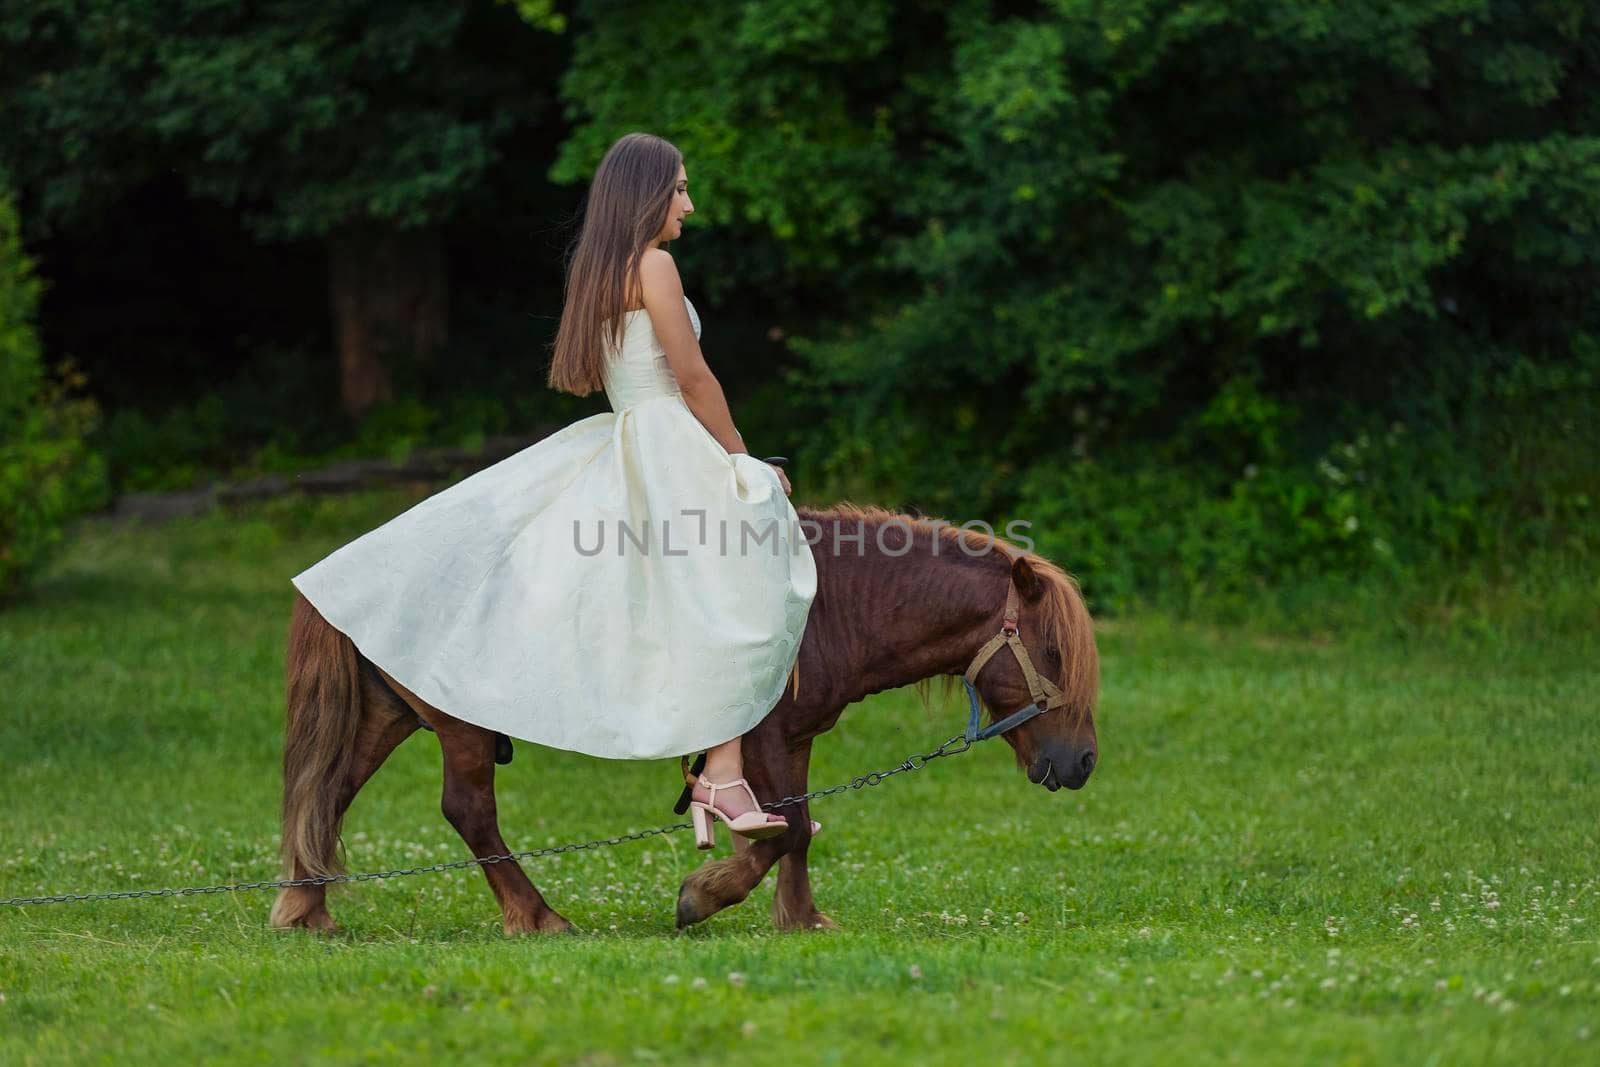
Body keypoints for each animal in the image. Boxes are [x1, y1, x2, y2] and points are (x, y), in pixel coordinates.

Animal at [272, 505, 1100, 927]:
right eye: (1055, 649)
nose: (1084, 760)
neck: (831, 601)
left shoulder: (793, 736)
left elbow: (797, 826)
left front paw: (801, 920)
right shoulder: (760, 736)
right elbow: (784, 827)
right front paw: (706, 893)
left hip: (390, 712)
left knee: (327, 794)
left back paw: (305, 908)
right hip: (459, 724)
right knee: (467, 810)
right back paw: (537, 917)